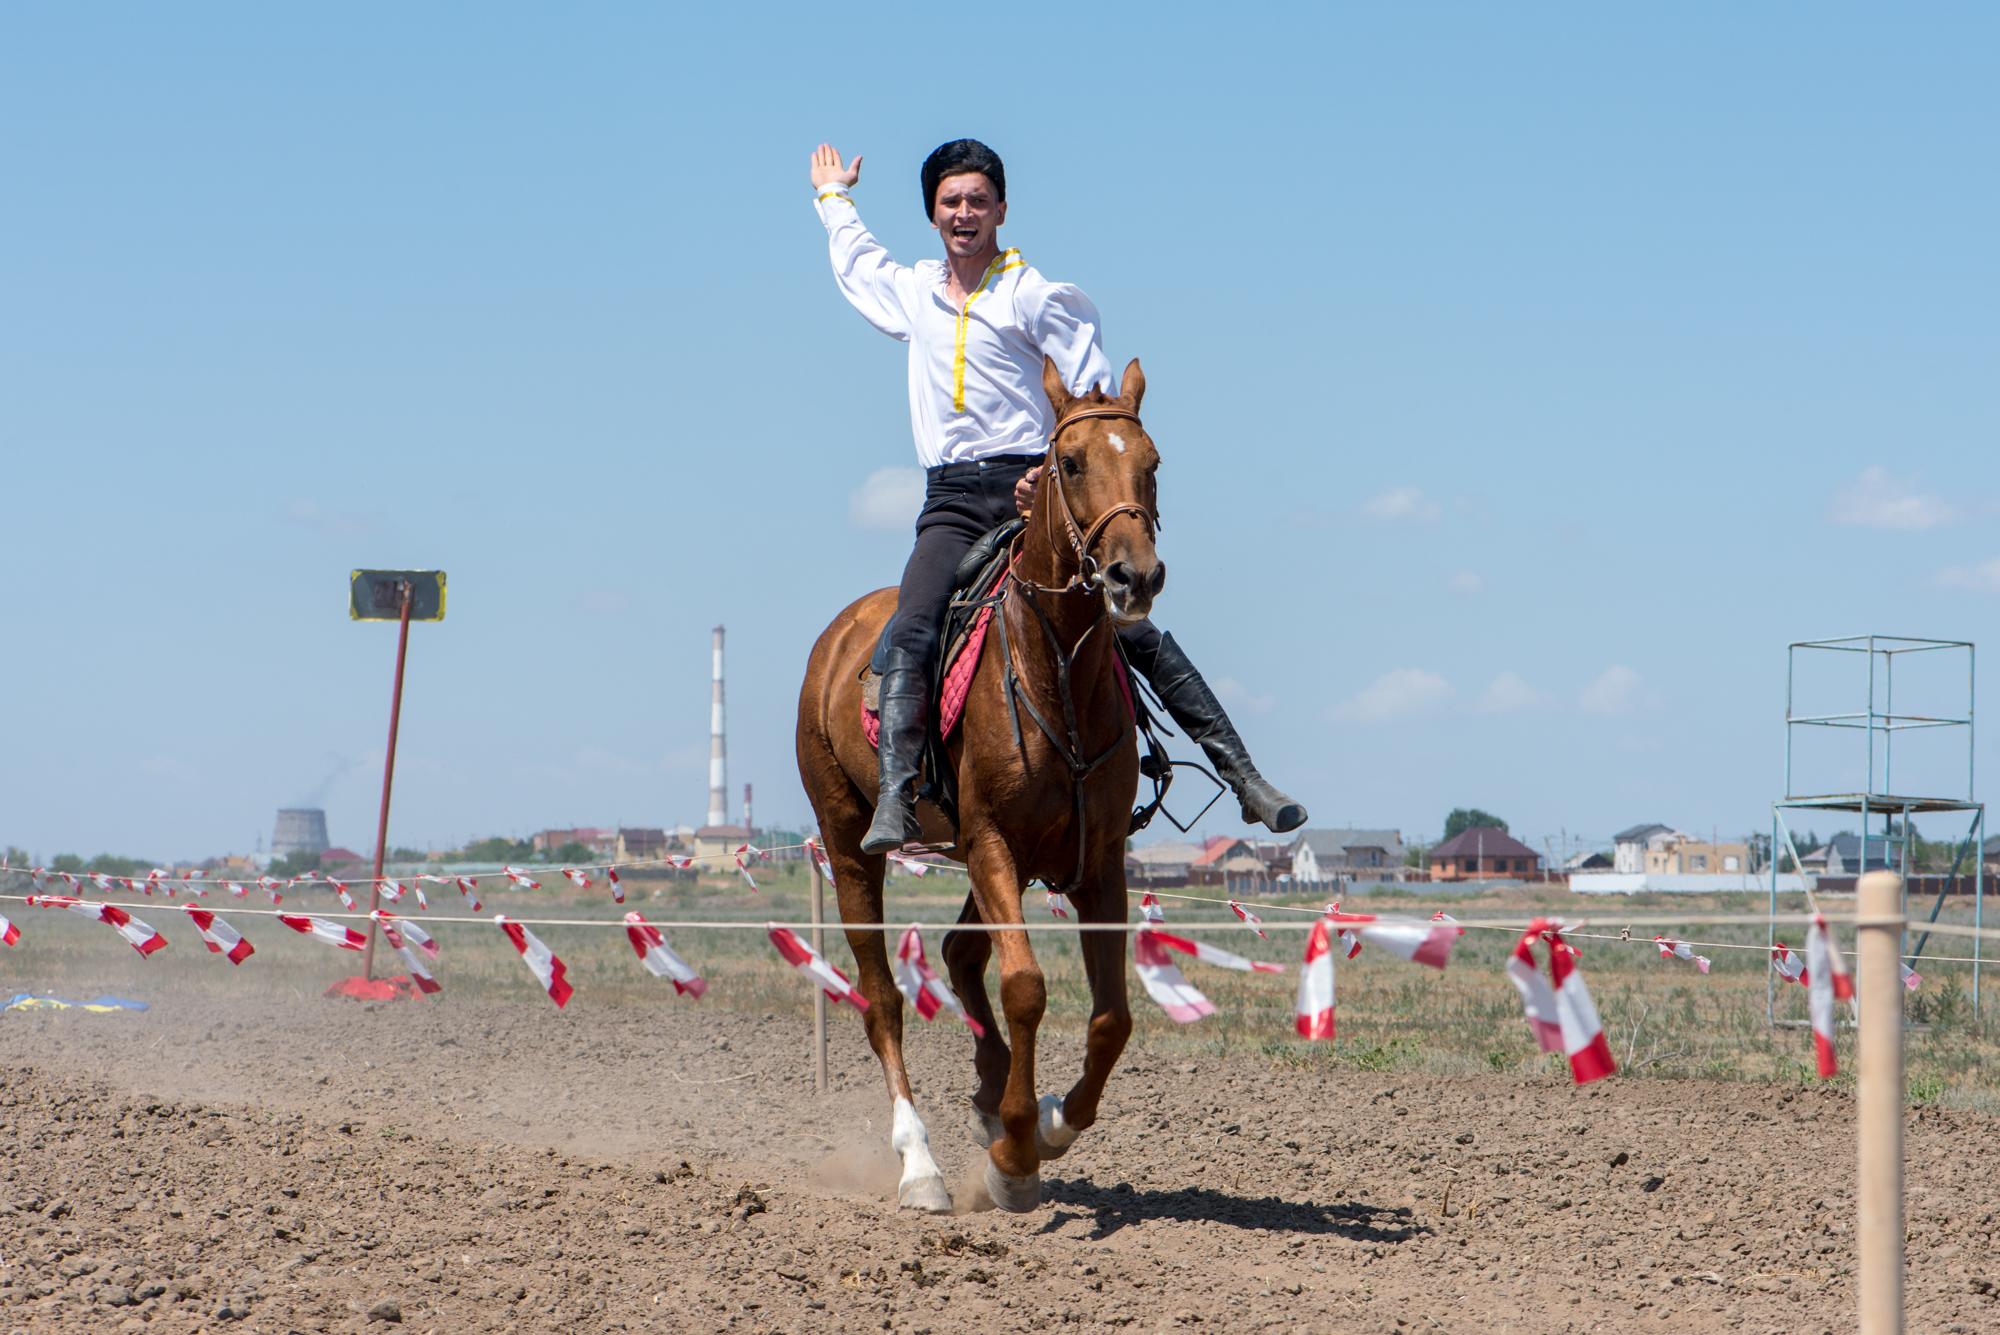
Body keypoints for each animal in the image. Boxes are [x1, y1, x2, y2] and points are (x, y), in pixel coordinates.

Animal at [796, 353, 1168, 1207]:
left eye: (1152, 463)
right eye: (1071, 462)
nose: (1134, 576)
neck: (1053, 673)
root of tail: (838, 636)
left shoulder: (1095, 860)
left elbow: (1112, 1017)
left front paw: (1049, 1120)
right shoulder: (995, 841)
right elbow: (1026, 985)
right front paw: (1017, 1155)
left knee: (960, 953)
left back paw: (991, 1094)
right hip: (851, 843)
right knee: (884, 1001)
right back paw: (922, 1163)